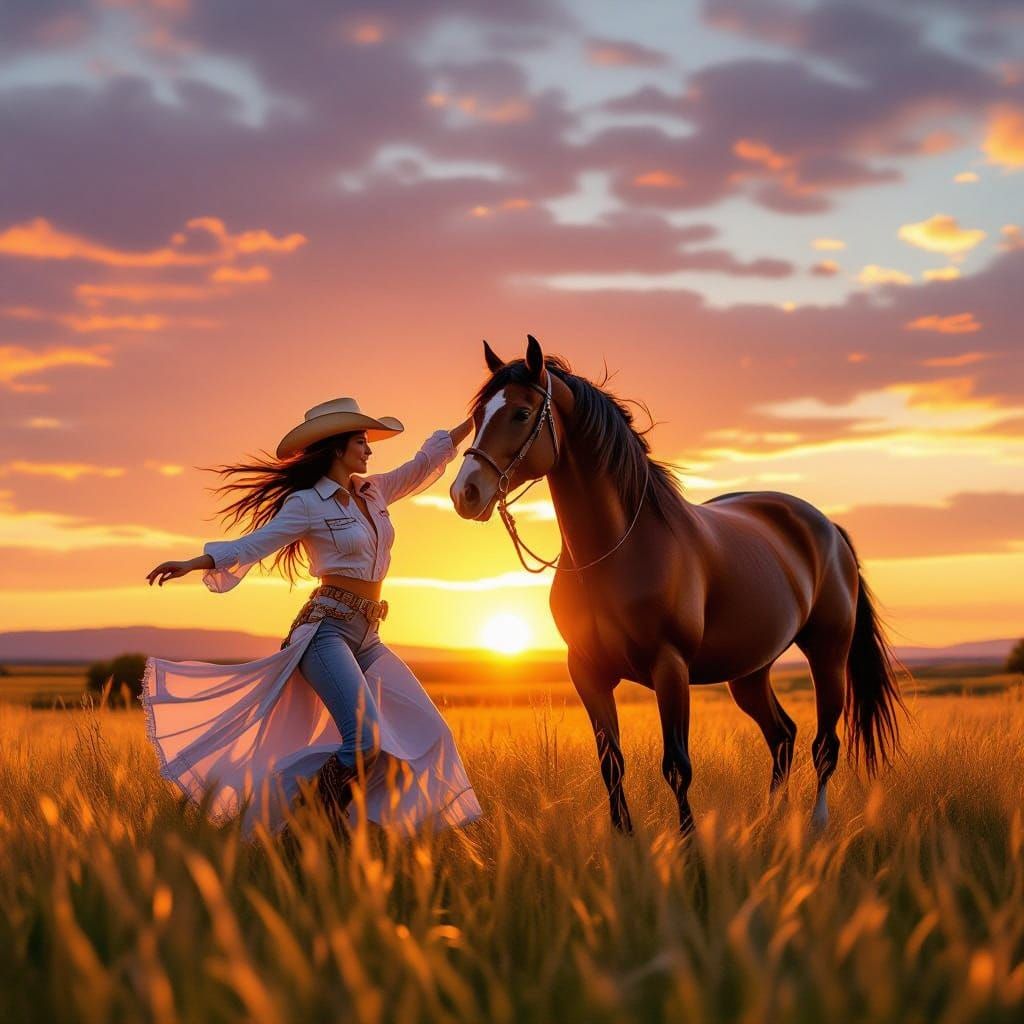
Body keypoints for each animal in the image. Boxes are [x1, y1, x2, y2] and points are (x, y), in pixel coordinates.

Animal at [450, 336, 906, 835]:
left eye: (521, 413)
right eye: (477, 416)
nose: (465, 493)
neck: (618, 549)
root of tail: (826, 527)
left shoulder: (670, 668)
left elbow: (677, 766)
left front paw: (688, 846)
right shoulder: (587, 672)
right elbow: (611, 764)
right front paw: (625, 842)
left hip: (828, 654)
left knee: (824, 746)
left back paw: (815, 827)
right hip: (750, 672)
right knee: (782, 735)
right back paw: (770, 822)